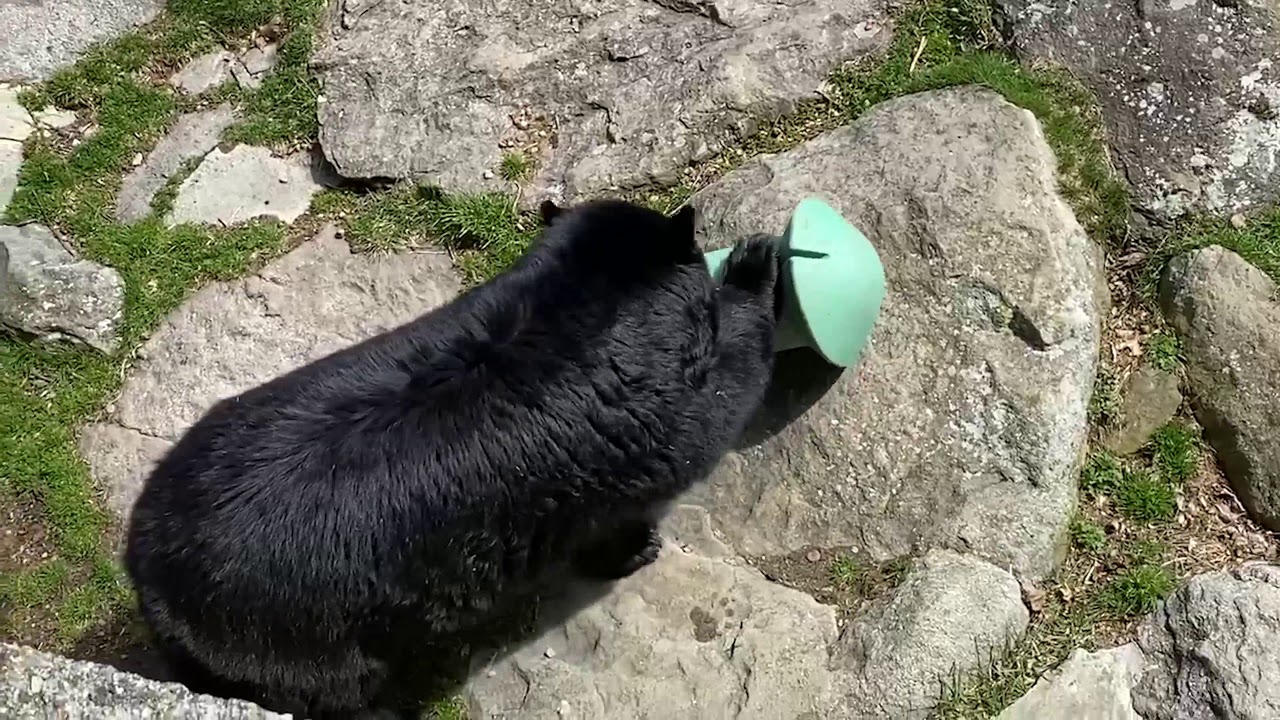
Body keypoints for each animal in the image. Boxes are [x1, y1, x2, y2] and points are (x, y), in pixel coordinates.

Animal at [124, 197, 780, 719]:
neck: (582, 292)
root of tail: (148, 575)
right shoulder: (645, 421)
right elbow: (719, 406)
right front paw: (757, 264)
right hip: (297, 643)